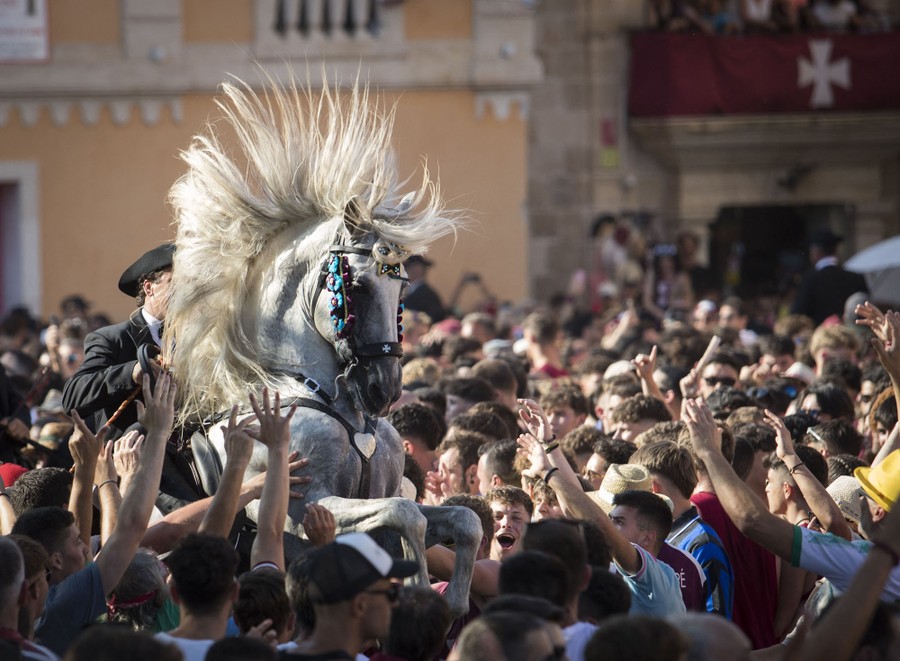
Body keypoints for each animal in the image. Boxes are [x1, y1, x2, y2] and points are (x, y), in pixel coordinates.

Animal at [162, 74, 481, 617]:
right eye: (355, 288)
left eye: (403, 289)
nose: (383, 390)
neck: (331, 401)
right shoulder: (304, 506)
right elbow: (407, 516)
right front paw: (418, 592)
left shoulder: (385, 489)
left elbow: (463, 520)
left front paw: (453, 602)